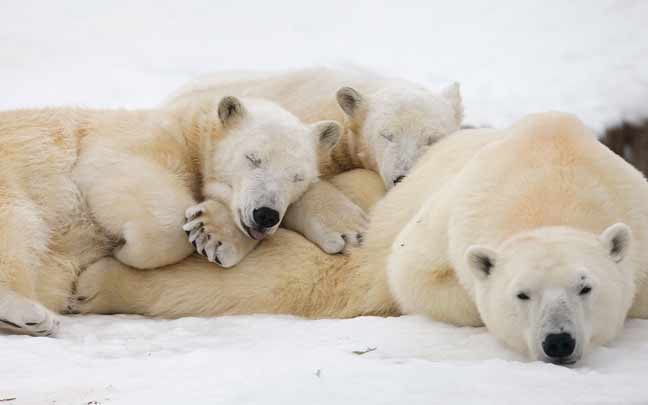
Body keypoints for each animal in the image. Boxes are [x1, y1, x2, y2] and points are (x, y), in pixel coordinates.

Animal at [0, 94, 342, 334]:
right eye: (253, 158)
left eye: (297, 177)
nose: (266, 214)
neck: (190, 129)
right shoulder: (135, 137)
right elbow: (114, 170)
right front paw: (126, 252)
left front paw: (213, 237)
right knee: (18, 223)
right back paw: (31, 314)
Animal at [73, 111, 648, 362]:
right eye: (521, 294)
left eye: (586, 287)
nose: (559, 341)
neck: (553, 170)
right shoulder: (448, 214)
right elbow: (412, 275)